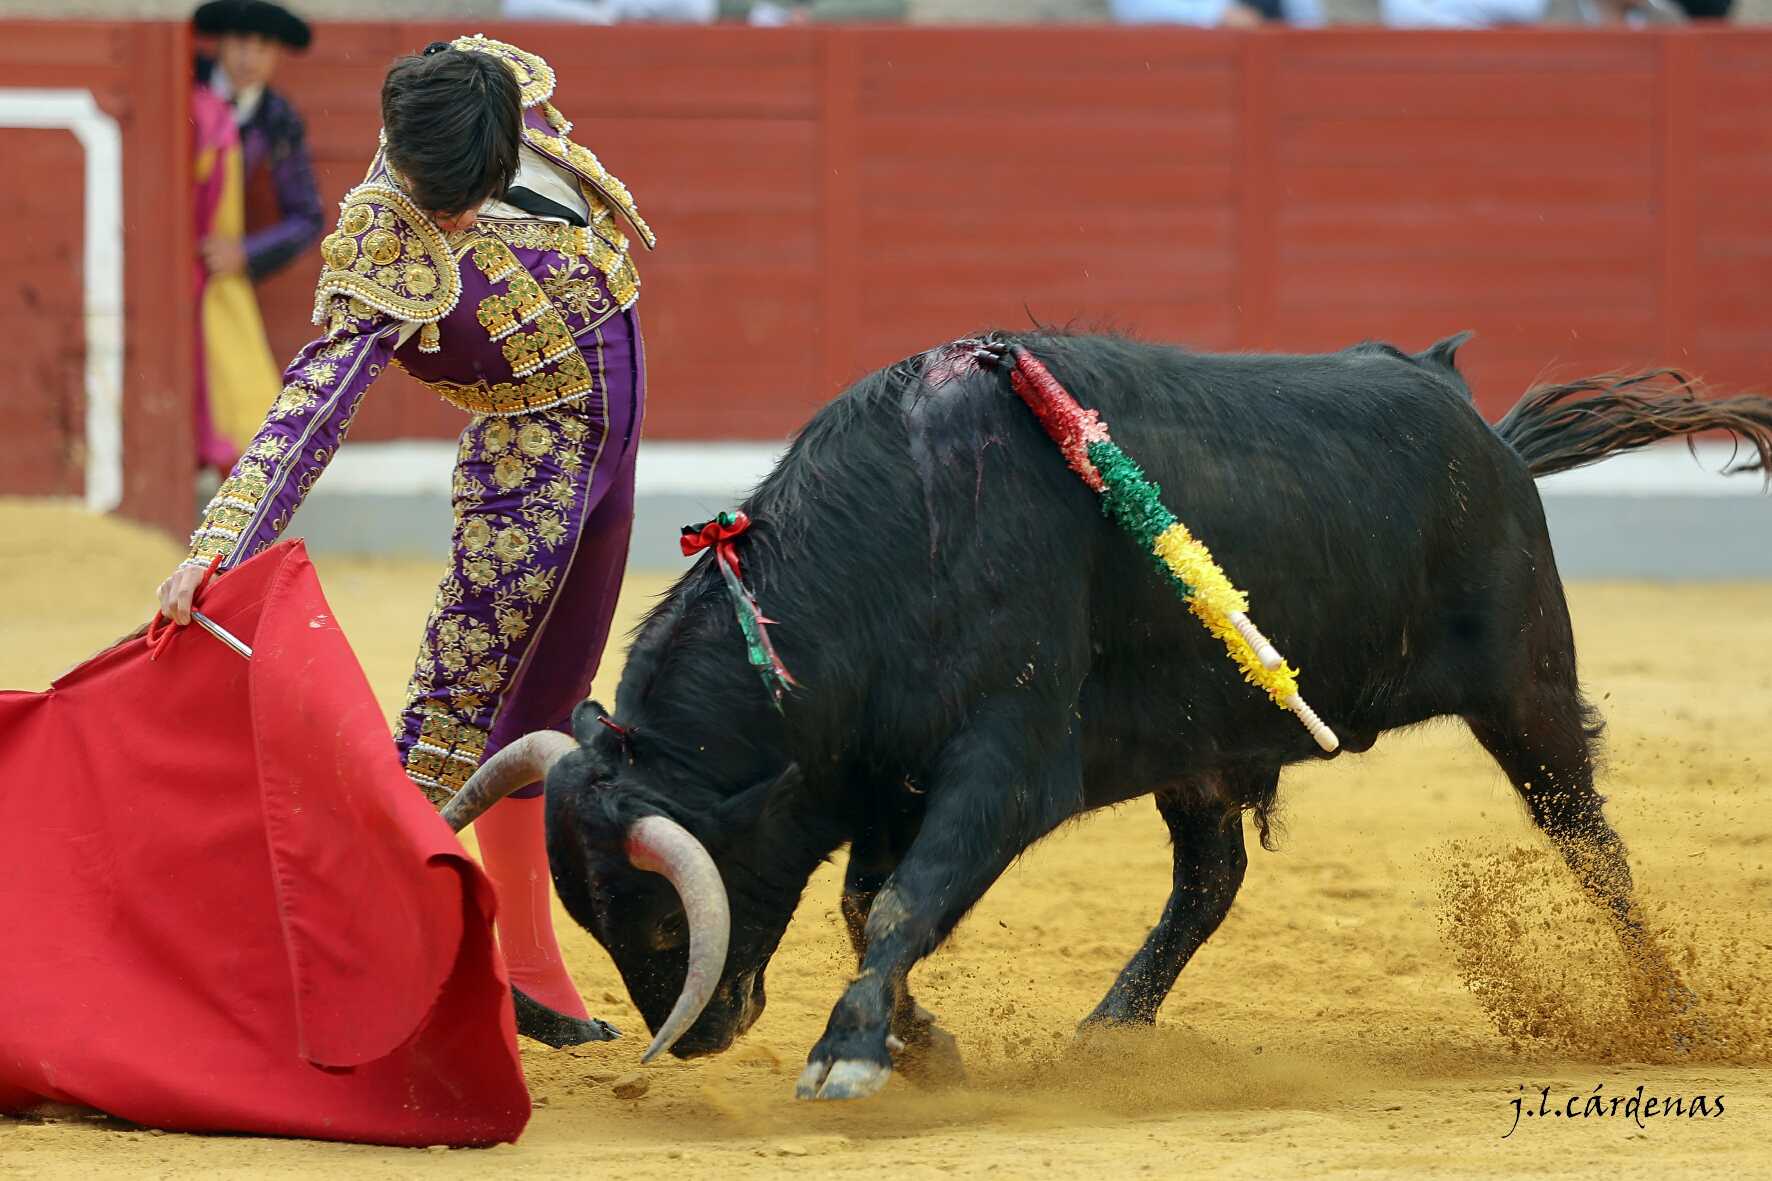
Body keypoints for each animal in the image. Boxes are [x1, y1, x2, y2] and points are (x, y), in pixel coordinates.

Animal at [443, 330, 1772, 1101]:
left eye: (663, 919)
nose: (701, 1032)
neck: (890, 543)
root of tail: (1474, 419)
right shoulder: (888, 779)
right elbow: (871, 902)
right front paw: (923, 1042)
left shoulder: (1002, 762)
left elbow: (908, 898)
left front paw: (851, 1051)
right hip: (1201, 749)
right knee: (1210, 878)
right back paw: (1108, 1024)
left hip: (1525, 685)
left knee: (1587, 840)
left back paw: (1674, 1015)